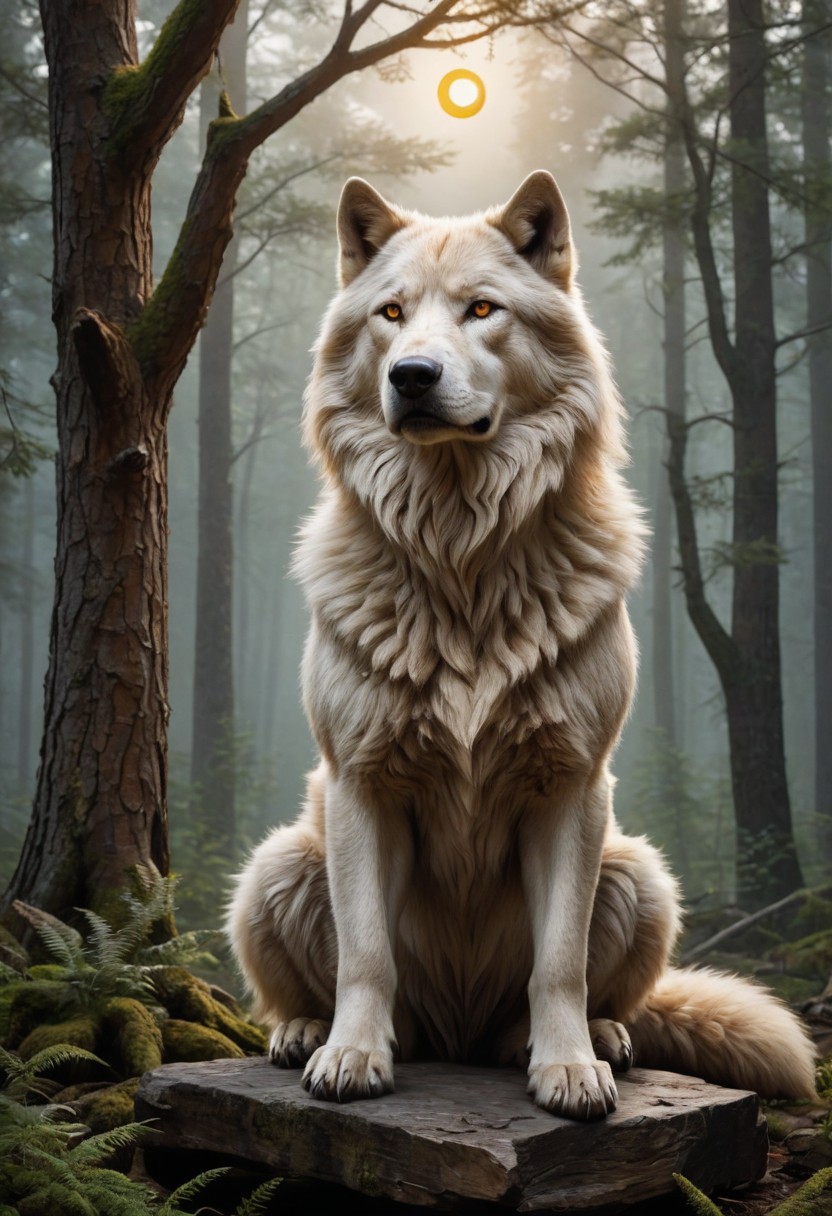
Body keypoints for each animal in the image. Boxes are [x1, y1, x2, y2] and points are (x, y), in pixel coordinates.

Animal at [227, 172, 816, 1119]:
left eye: (481, 309)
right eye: (391, 313)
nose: (412, 376)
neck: (461, 554)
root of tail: (456, 1036)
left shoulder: (572, 787)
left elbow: (559, 963)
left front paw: (568, 1069)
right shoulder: (361, 784)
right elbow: (366, 954)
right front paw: (352, 1057)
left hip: (639, 872)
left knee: (595, 1000)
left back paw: (584, 1042)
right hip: (280, 862)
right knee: (314, 987)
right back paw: (305, 1034)